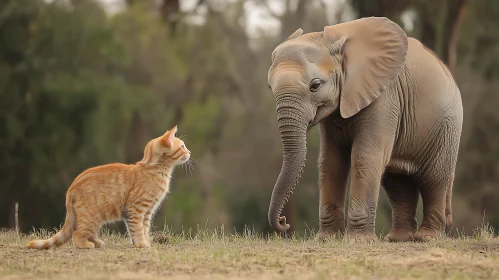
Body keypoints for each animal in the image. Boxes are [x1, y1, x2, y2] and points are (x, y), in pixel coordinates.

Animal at [27, 126, 191, 248]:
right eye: (183, 147)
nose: (189, 152)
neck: (154, 169)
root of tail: (71, 187)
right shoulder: (136, 209)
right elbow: (137, 228)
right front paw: (141, 243)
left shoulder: (147, 212)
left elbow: (144, 228)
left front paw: (144, 241)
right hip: (90, 216)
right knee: (77, 233)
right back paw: (86, 244)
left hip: (96, 219)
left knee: (88, 232)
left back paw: (97, 242)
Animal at [268, 16, 462, 242]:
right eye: (270, 88)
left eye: (315, 85)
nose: (284, 222)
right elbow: (330, 163)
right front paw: (327, 239)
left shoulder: (384, 98)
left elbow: (364, 157)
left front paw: (357, 240)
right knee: (397, 182)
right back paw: (397, 238)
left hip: (448, 126)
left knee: (434, 179)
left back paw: (426, 237)